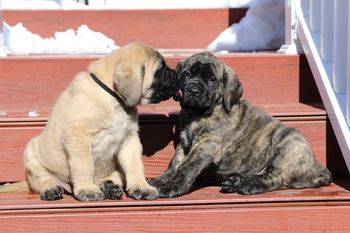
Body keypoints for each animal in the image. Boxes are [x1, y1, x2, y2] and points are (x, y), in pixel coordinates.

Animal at [149, 52, 332, 198]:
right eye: (187, 74)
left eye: (211, 79)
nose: (193, 91)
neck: (195, 113)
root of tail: (317, 165)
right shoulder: (184, 144)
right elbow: (174, 164)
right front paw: (160, 180)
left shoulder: (207, 143)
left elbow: (187, 166)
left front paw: (173, 186)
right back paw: (236, 181)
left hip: (288, 143)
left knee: (276, 178)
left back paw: (249, 185)